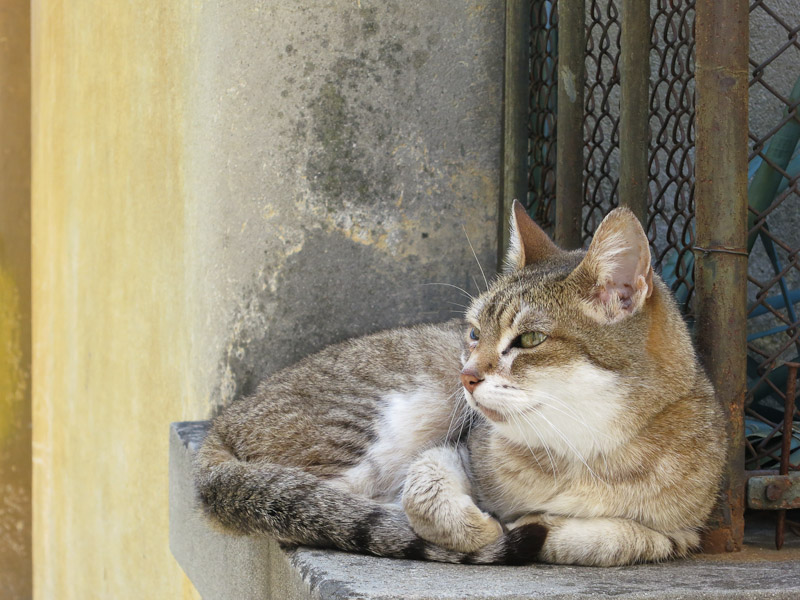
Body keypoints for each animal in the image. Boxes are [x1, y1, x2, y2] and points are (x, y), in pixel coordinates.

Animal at [192, 203, 724, 568]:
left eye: (529, 339)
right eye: (473, 332)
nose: (465, 376)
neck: (580, 450)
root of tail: (225, 419)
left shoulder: (684, 530)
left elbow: (623, 538)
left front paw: (546, 528)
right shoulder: (456, 448)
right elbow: (424, 495)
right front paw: (483, 530)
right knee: (316, 504)